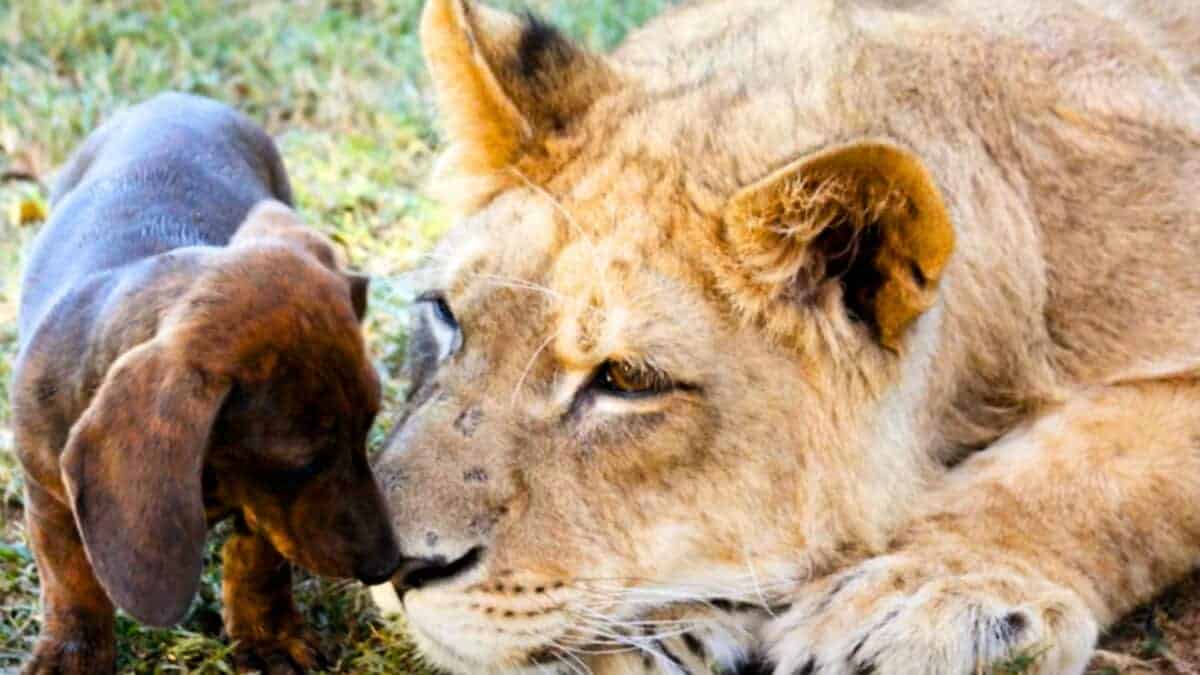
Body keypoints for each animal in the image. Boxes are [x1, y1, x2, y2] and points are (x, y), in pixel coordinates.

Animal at [11, 93, 400, 672]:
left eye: (369, 426)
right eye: (303, 462)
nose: (388, 564)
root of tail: (173, 97)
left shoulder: (262, 502)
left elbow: (258, 558)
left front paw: (266, 637)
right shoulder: (48, 494)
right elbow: (71, 582)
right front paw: (71, 653)